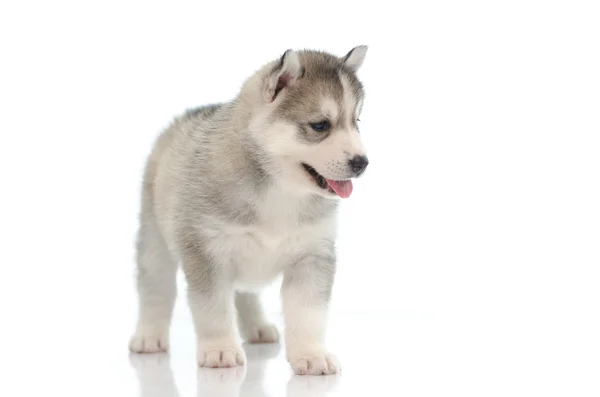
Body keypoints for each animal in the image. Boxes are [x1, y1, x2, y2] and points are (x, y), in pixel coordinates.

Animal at [129, 46, 368, 374]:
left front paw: (311, 354)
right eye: (320, 125)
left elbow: (308, 312)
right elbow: (213, 307)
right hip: (155, 240)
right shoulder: (206, 251)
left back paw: (257, 327)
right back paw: (149, 335)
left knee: (244, 293)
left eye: (357, 122)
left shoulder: (312, 255)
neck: (280, 189)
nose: (362, 162)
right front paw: (219, 349)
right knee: (156, 287)